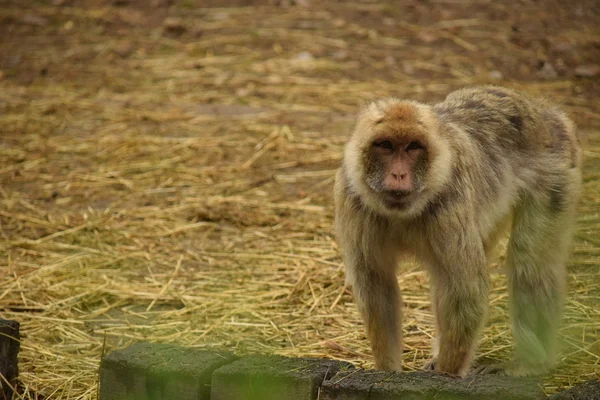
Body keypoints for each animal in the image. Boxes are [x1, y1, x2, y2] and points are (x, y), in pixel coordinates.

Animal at [332, 85, 580, 378]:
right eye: (386, 146)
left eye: (413, 147)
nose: (399, 175)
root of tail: (546, 112)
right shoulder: (352, 200)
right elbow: (376, 285)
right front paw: (387, 370)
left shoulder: (451, 197)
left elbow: (465, 290)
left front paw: (446, 374)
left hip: (556, 173)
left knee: (529, 260)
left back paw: (533, 363)